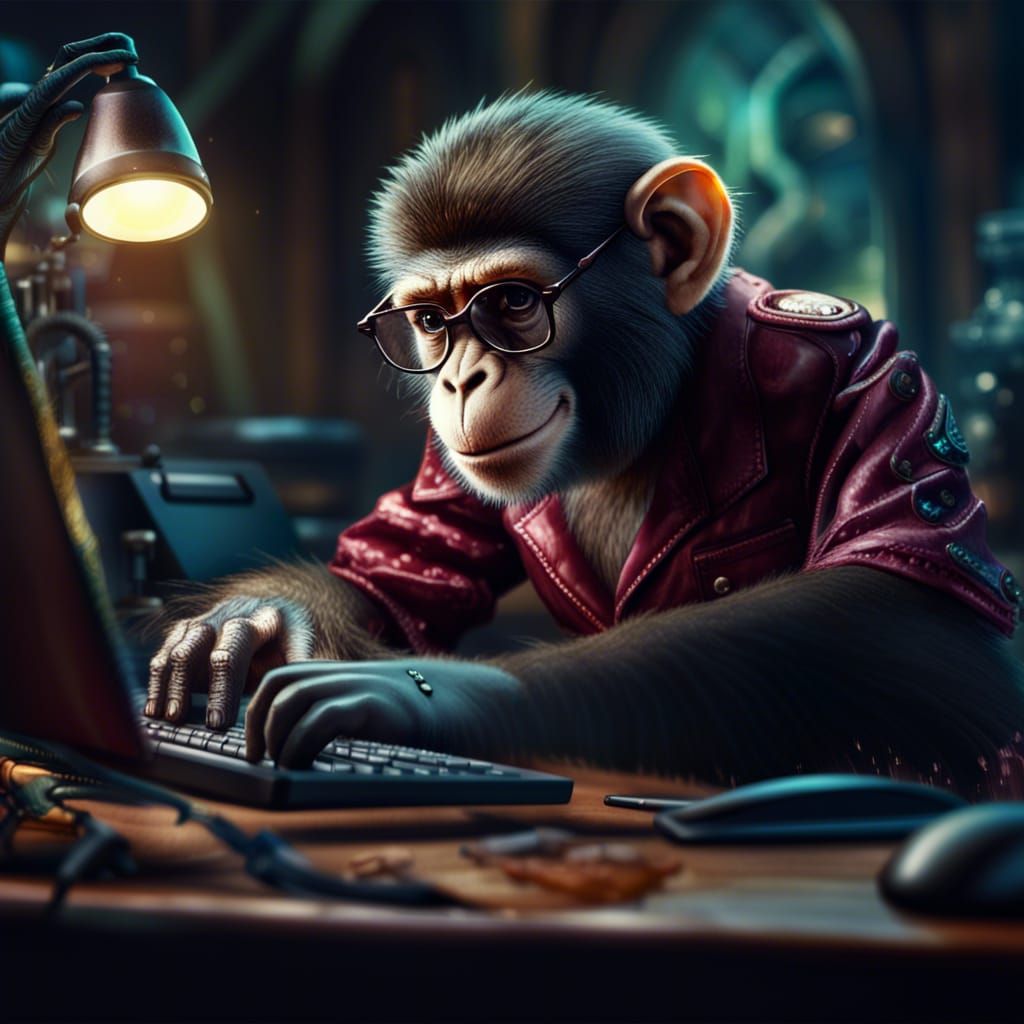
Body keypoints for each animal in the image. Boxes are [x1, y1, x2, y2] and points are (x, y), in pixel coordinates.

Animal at [128, 90, 1023, 794]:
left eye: (511, 303)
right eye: (430, 322)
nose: (459, 381)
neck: (652, 416)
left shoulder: (865, 362)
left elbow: (899, 603)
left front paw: (422, 692)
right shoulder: (444, 469)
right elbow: (383, 579)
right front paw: (250, 622)